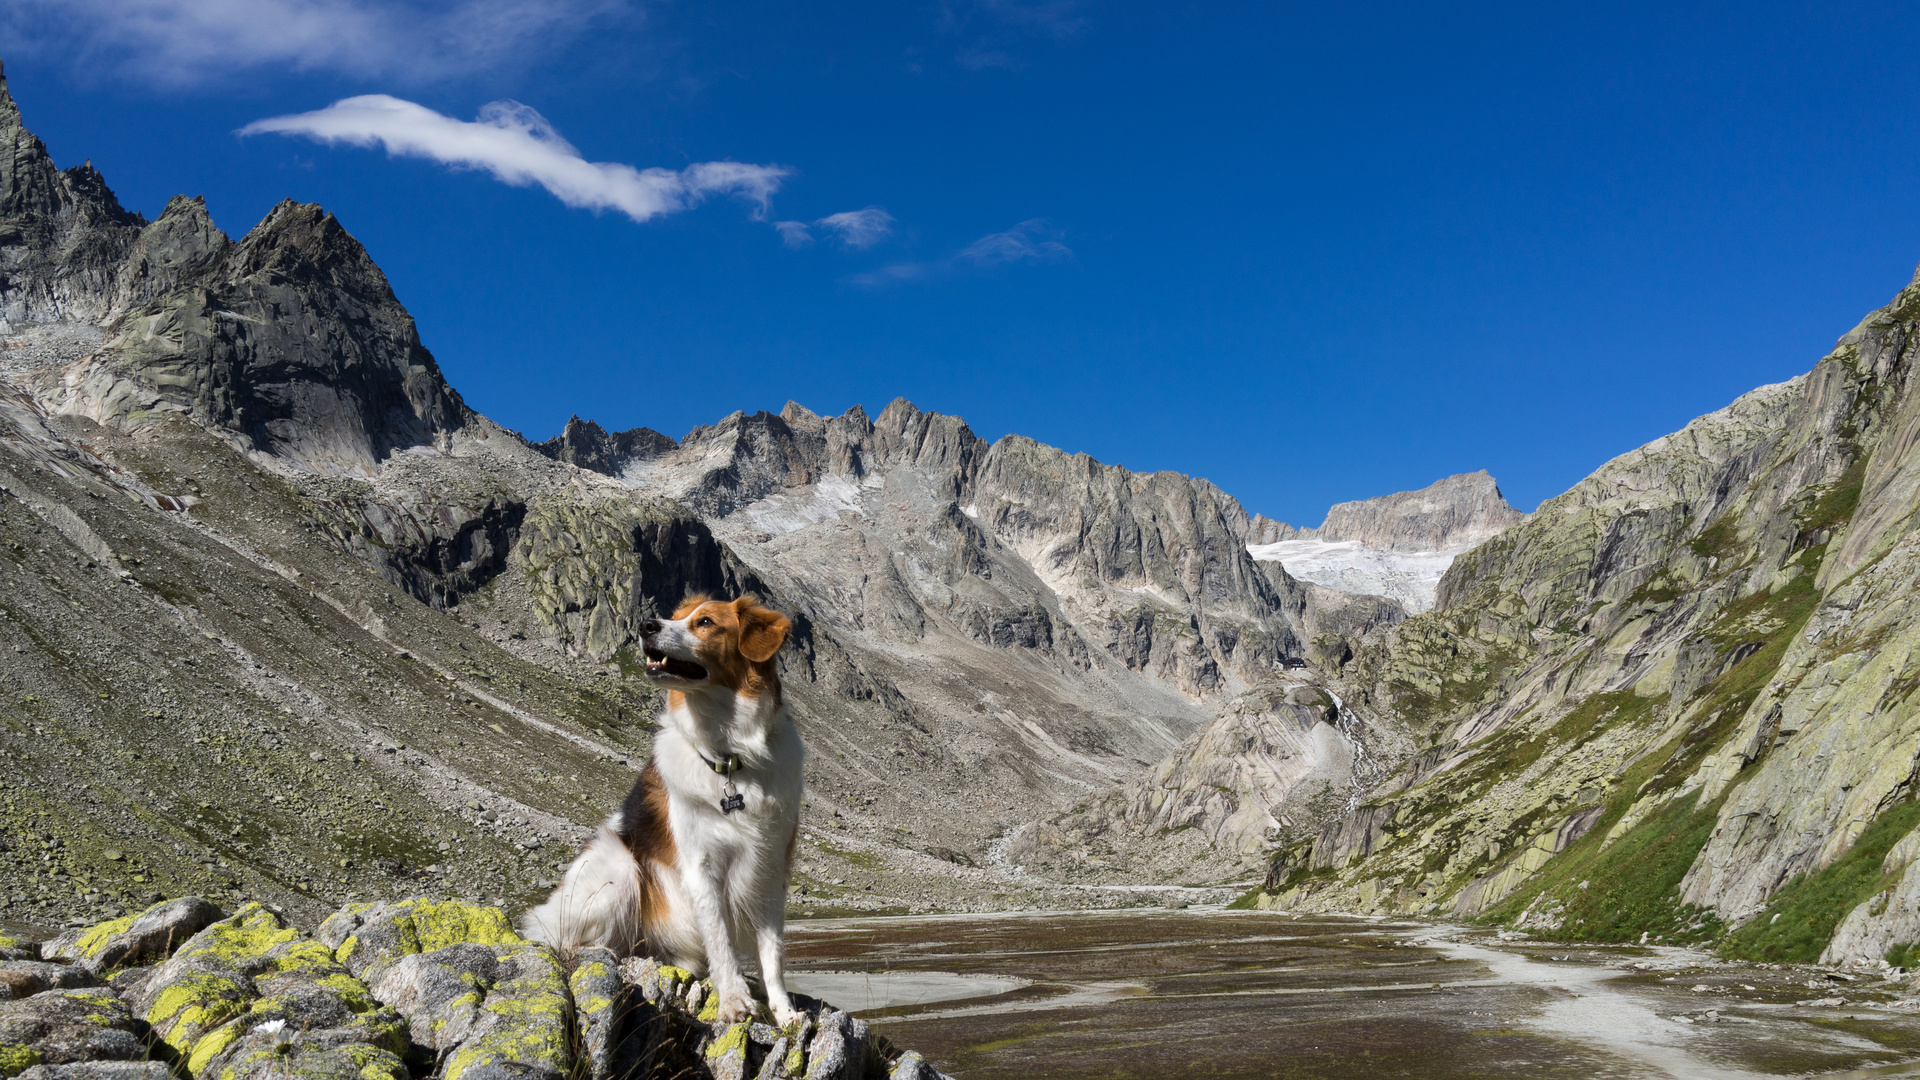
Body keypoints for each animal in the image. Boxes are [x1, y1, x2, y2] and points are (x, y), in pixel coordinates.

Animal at [518, 591, 802, 1022]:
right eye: (674, 616)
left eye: (705, 622)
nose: (646, 625)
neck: (731, 756)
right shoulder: (701, 865)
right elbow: (719, 938)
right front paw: (734, 1000)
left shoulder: (771, 867)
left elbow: (773, 950)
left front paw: (784, 1011)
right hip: (619, 868)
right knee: (575, 942)